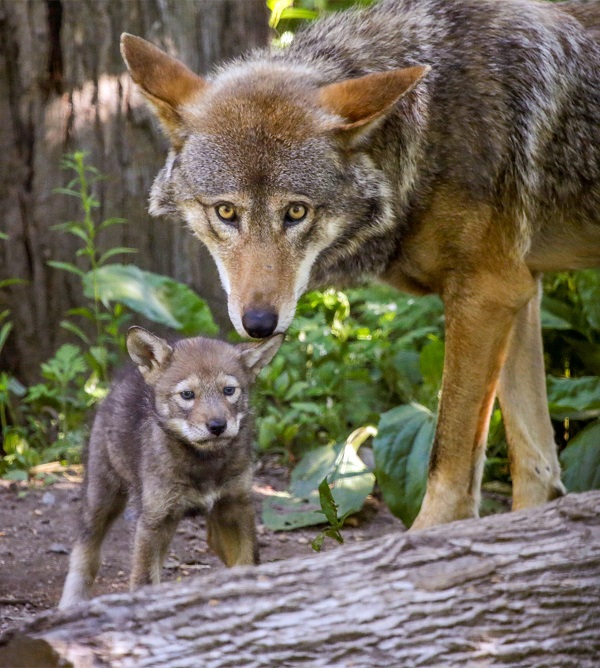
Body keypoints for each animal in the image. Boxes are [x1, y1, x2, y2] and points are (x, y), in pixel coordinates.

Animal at [120, 1, 600, 532]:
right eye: (226, 212)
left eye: (296, 212)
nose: (260, 324)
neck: (427, 128)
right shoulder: (521, 288)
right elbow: (536, 466)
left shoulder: (488, 293)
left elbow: (449, 467)